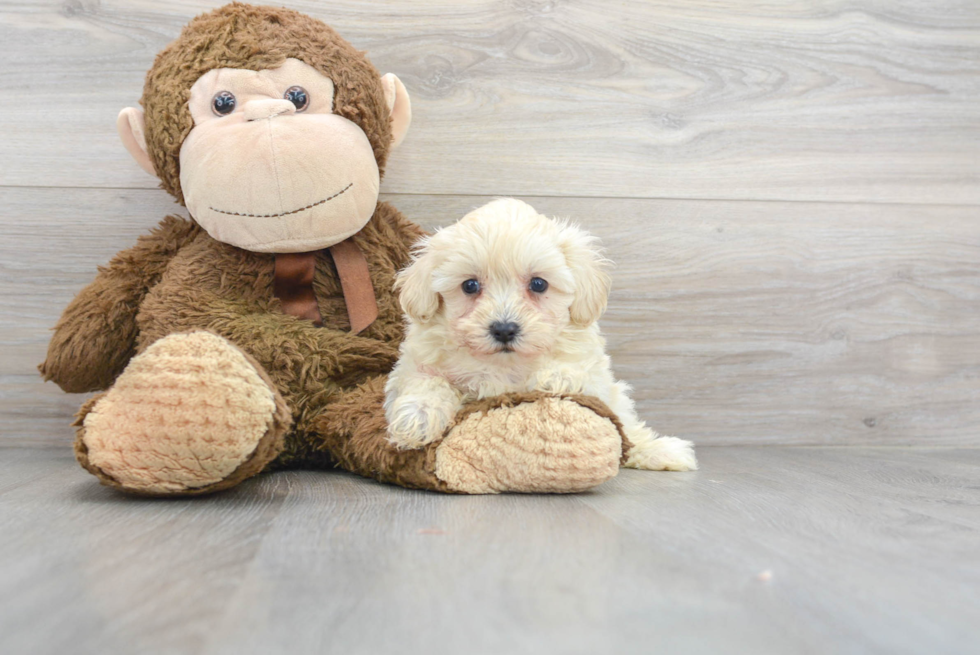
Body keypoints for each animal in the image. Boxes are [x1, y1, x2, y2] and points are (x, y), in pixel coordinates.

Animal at [382, 200, 696, 472]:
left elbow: (581, 375)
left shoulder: (595, 372)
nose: (504, 329)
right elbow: (427, 381)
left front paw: (559, 377)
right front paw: (418, 417)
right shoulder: (414, 363)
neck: (506, 365)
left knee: (628, 426)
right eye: (469, 286)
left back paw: (662, 451)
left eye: (538, 284)